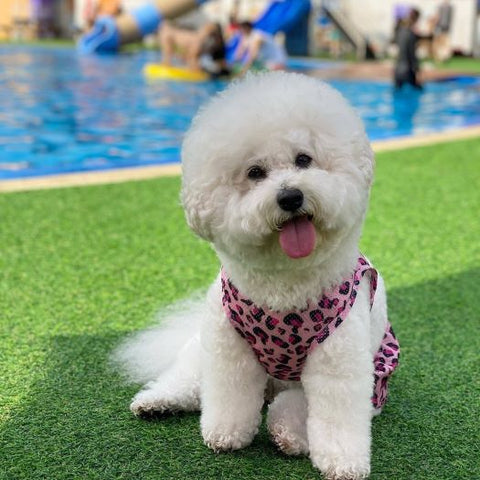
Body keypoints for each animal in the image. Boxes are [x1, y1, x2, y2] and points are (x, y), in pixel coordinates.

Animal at [115, 71, 398, 480]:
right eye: (254, 172)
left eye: (304, 159)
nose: (291, 197)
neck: (283, 286)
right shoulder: (228, 349)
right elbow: (228, 396)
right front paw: (225, 434)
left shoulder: (339, 362)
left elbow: (335, 416)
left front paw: (343, 462)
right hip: (200, 349)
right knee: (187, 380)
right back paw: (156, 401)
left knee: (290, 404)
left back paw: (288, 432)